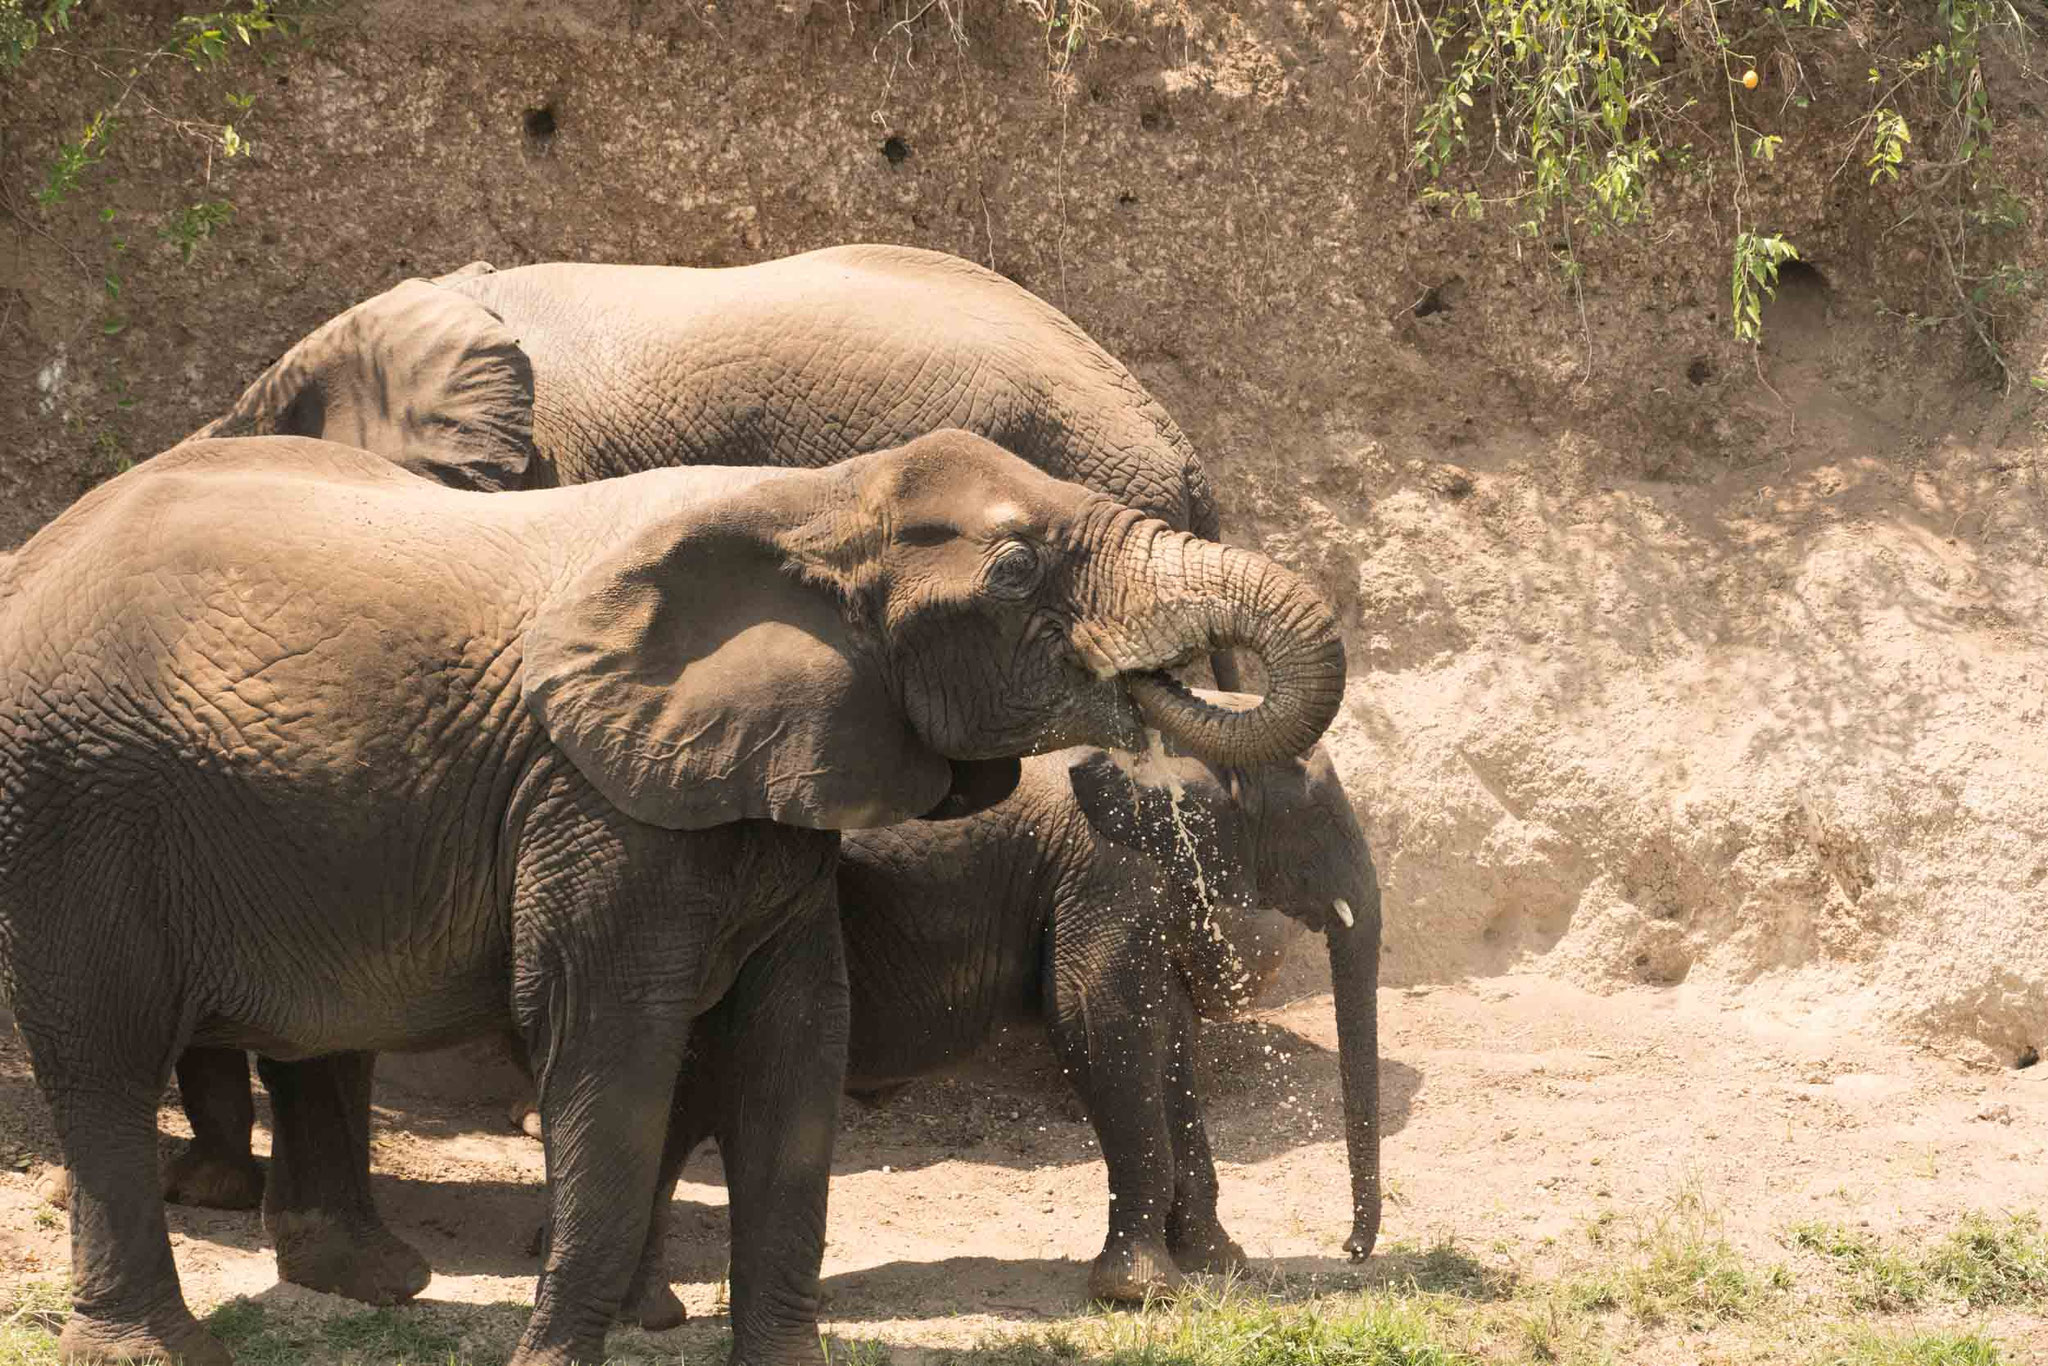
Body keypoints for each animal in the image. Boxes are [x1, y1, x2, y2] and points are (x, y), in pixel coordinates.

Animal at [0, 430, 1346, 1366]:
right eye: (1017, 571)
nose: (1159, 689)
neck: (817, 497)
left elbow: (796, 1044)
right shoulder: (594, 793)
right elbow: (615, 1048)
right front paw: (553, 1362)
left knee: (318, 1038)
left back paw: (373, 1281)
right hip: (71, 807)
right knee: (103, 1057)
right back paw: (158, 1346)